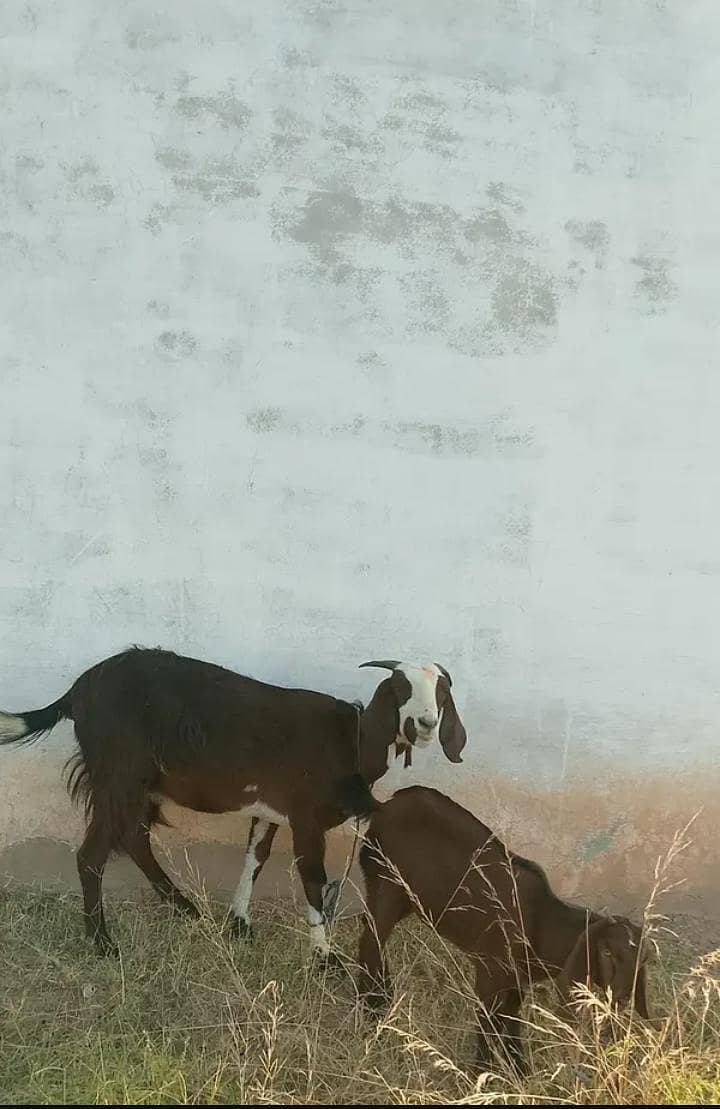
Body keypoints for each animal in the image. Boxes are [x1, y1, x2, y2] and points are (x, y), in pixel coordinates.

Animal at [0, 651, 466, 958]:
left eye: (442, 692)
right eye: (402, 688)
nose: (426, 724)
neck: (351, 741)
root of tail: (78, 691)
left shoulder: (270, 810)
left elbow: (255, 858)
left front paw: (240, 923)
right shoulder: (307, 817)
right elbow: (313, 879)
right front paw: (324, 956)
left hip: (137, 785)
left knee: (134, 837)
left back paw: (186, 909)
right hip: (119, 775)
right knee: (93, 855)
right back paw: (103, 943)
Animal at [358, 786, 651, 1075]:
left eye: (642, 961)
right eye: (606, 952)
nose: (621, 998)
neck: (542, 923)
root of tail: (382, 806)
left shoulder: (516, 981)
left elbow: (511, 1023)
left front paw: (519, 1070)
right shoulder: (490, 973)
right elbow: (488, 1024)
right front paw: (480, 1074)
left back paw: (382, 997)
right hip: (388, 886)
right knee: (371, 940)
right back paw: (372, 1008)